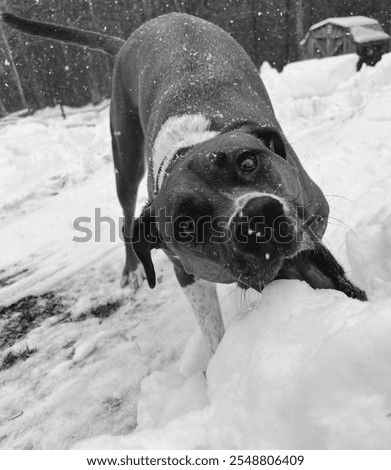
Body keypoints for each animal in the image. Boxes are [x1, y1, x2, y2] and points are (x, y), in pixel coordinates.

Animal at [0, 11, 368, 356]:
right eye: (186, 226)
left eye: (248, 162)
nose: (257, 218)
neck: (187, 146)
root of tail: (132, 37)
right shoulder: (186, 272)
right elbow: (212, 329)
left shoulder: (315, 217)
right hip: (124, 159)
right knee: (125, 216)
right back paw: (131, 271)